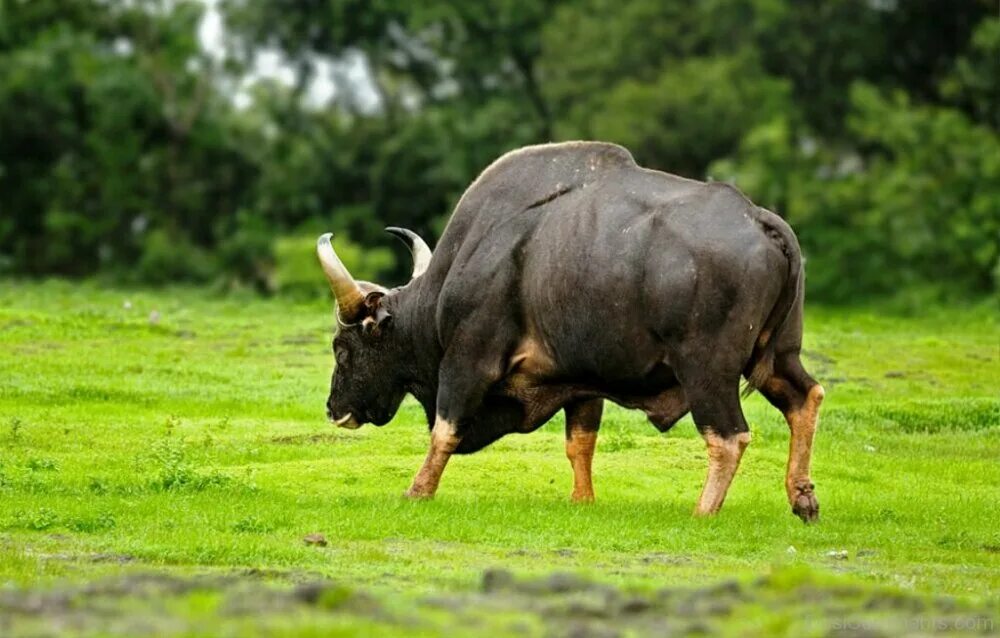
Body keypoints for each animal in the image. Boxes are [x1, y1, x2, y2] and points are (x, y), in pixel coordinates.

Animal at [316, 142, 824, 524]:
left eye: (342, 349)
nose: (334, 409)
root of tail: (758, 219)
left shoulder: (467, 361)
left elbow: (445, 430)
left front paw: (418, 490)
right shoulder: (583, 380)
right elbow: (579, 442)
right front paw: (583, 500)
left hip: (707, 371)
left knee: (729, 437)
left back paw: (704, 510)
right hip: (778, 356)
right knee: (806, 397)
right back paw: (801, 497)